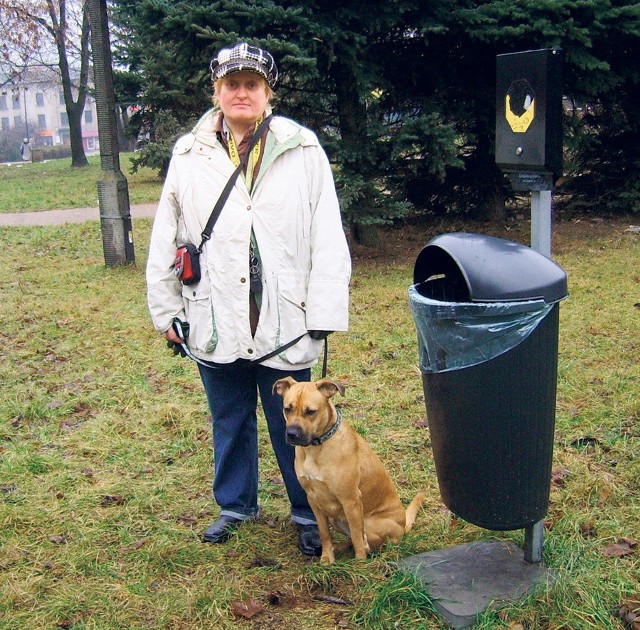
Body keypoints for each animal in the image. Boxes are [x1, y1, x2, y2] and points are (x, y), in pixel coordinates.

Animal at [272, 378, 424, 564]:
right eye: (287, 408)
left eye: (310, 412)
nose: (292, 433)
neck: (316, 448)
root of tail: (403, 525)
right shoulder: (313, 499)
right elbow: (324, 533)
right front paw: (326, 558)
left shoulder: (350, 500)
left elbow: (358, 537)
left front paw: (360, 564)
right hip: (336, 518)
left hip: (371, 523)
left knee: (371, 540)